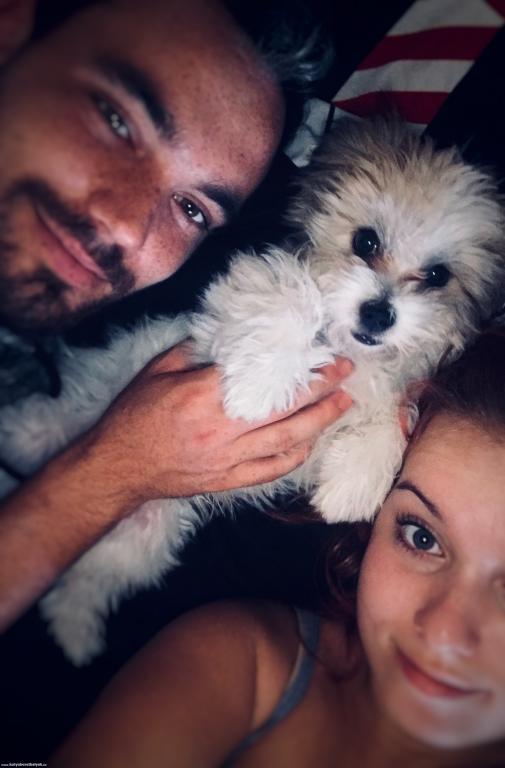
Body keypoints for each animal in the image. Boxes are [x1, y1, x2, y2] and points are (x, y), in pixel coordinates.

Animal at [1, 119, 504, 665]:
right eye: (366, 241)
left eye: (437, 276)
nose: (378, 312)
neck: (351, 351)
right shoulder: (237, 302)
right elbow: (292, 298)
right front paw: (257, 389)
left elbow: (401, 413)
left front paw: (351, 487)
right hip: (94, 399)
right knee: (55, 419)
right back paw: (20, 433)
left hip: (143, 535)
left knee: (83, 581)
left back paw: (75, 634)